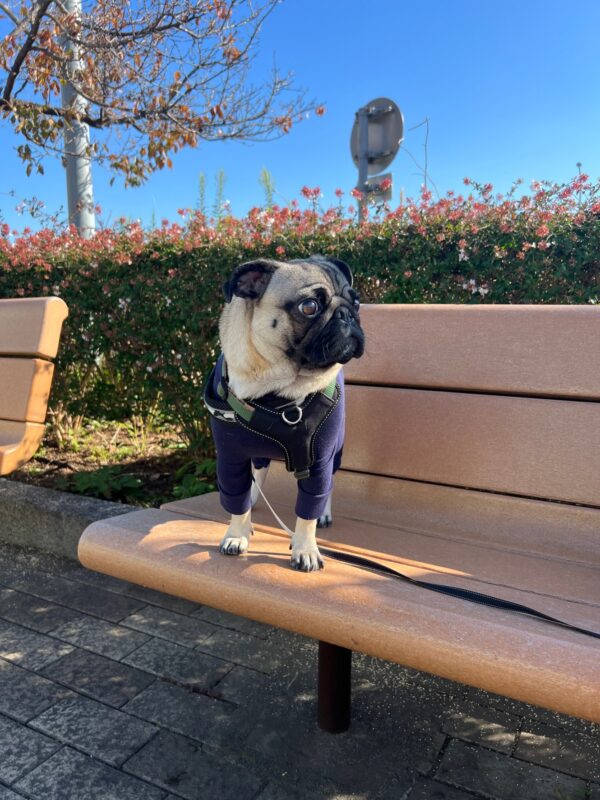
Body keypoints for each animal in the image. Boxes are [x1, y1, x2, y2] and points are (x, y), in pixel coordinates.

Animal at [204, 253, 366, 572]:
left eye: (356, 302)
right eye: (309, 306)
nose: (347, 315)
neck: (276, 392)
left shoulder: (318, 460)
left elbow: (309, 509)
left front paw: (306, 548)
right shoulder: (231, 457)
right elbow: (236, 498)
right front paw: (237, 533)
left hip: (337, 450)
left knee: (328, 485)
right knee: (258, 471)